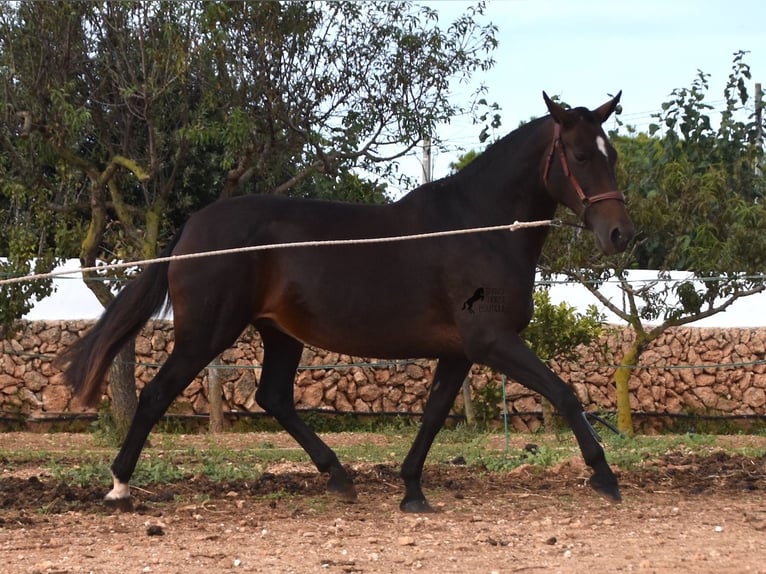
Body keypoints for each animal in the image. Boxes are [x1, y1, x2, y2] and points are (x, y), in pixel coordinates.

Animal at [60, 92, 636, 516]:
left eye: (612, 155)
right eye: (581, 156)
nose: (620, 235)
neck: (478, 228)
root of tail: (192, 230)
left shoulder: (459, 352)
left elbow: (433, 414)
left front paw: (412, 490)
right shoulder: (492, 341)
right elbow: (564, 393)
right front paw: (605, 477)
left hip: (279, 334)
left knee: (273, 396)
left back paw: (337, 475)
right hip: (207, 332)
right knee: (157, 394)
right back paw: (120, 487)